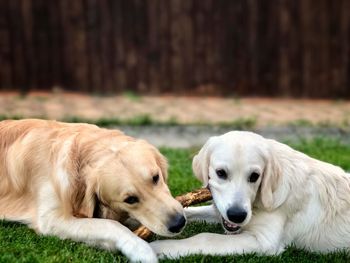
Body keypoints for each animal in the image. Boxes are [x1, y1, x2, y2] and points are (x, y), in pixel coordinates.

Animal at [0, 120, 186, 263]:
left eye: (156, 177)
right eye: (130, 199)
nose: (178, 223)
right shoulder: (51, 219)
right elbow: (111, 224)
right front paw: (143, 251)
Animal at [150, 131, 350, 258]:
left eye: (255, 176)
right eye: (221, 173)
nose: (237, 215)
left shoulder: (264, 240)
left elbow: (205, 237)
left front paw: (158, 248)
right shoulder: (221, 212)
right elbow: (190, 212)